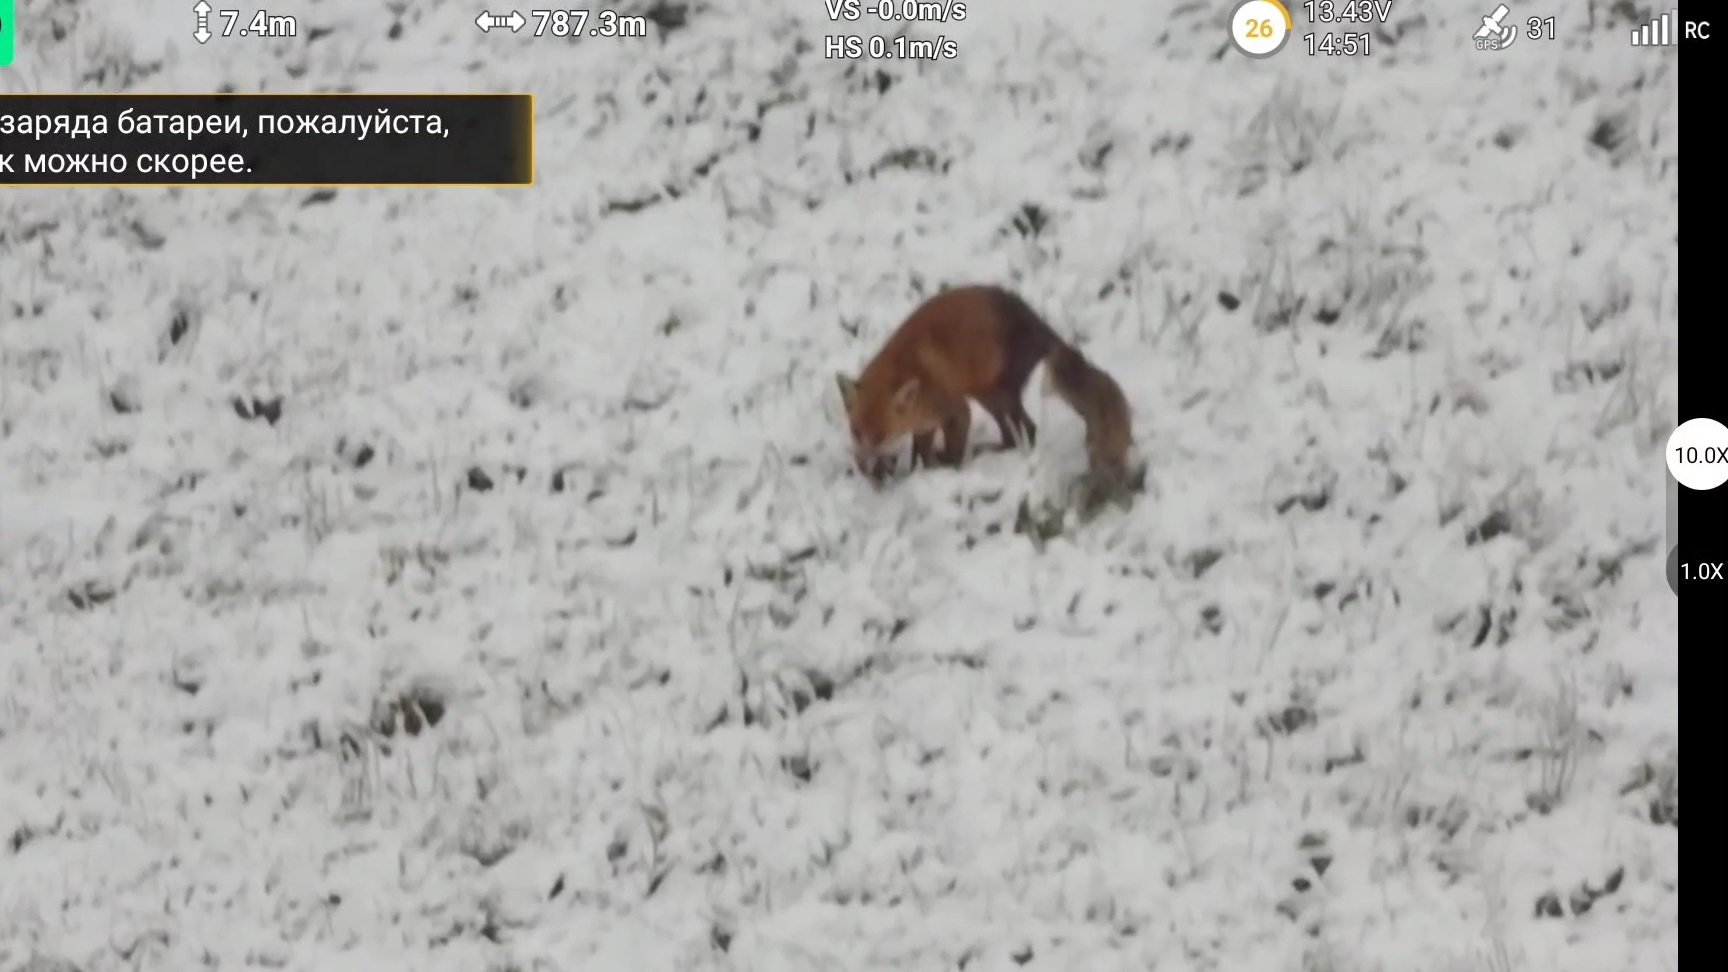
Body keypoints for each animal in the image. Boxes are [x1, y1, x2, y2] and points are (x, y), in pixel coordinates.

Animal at [833, 284, 1134, 489]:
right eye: (856, 432)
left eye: (880, 435)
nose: (863, 466)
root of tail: (1037, 322)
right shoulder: (925, 425)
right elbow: (921, 453)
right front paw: (918, 471)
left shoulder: (956, 410)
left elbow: (952, 449)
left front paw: (948, 469)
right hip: (987, 395)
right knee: (1013, 435)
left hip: (1000, 395)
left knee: (1028, 431)